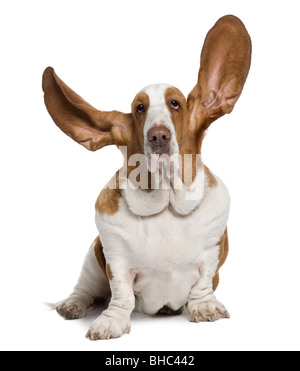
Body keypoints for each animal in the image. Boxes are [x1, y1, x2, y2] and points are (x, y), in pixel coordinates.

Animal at [41, 14, 251, 342]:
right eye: (139, 108)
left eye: (176, 103)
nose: (159, 136)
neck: (165, 206)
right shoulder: (115, 259)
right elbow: (121, 295)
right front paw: (110, 323)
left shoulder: (211, 252)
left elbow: (203, 283)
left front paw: (204, 307)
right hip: (92, 256)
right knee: (85, 288)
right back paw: (73, 305)